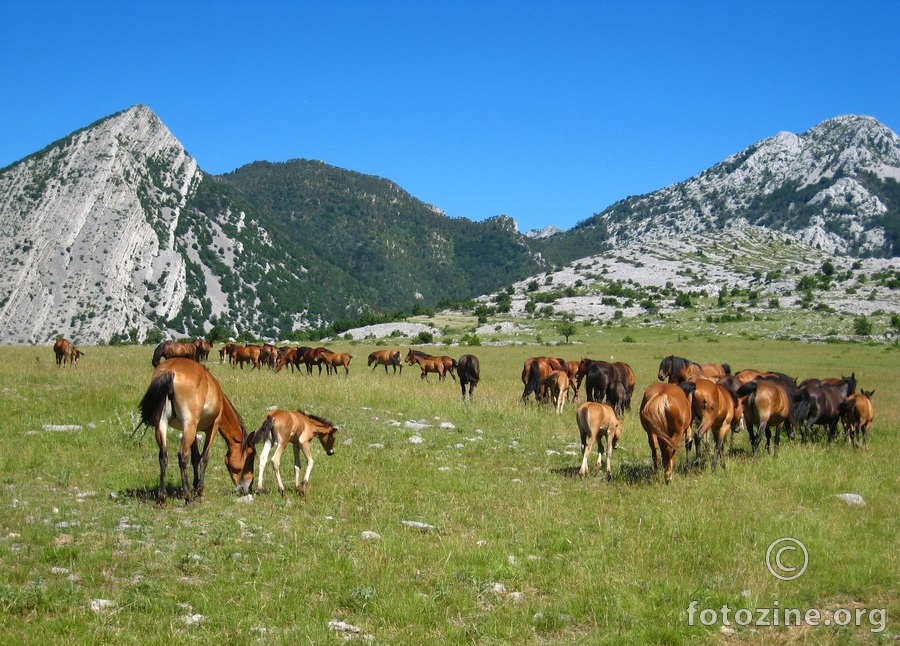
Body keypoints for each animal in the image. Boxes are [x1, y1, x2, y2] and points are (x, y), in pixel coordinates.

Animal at [138, 360, 256, 506]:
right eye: (251, 457)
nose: (248, 487)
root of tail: (170, 371)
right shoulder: (213, 426)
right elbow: (204, 457)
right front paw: (199, 490)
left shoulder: (194, 431)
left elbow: (195, 457)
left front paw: (195, 486)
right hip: (188, 425)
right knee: (182, 456)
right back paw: (188, 497)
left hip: (163, 424)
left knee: (163, 456)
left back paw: (161, 498)